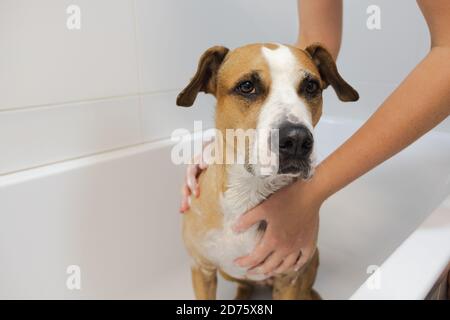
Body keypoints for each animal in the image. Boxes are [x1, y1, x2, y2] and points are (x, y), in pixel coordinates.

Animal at [176, 43, 358, 300]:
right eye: (247, 86)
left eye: (311, 86)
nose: (296, 139)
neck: (247, 191)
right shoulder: (202, 269)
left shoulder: (289, 278)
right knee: (245, 285)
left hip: (310, 262)